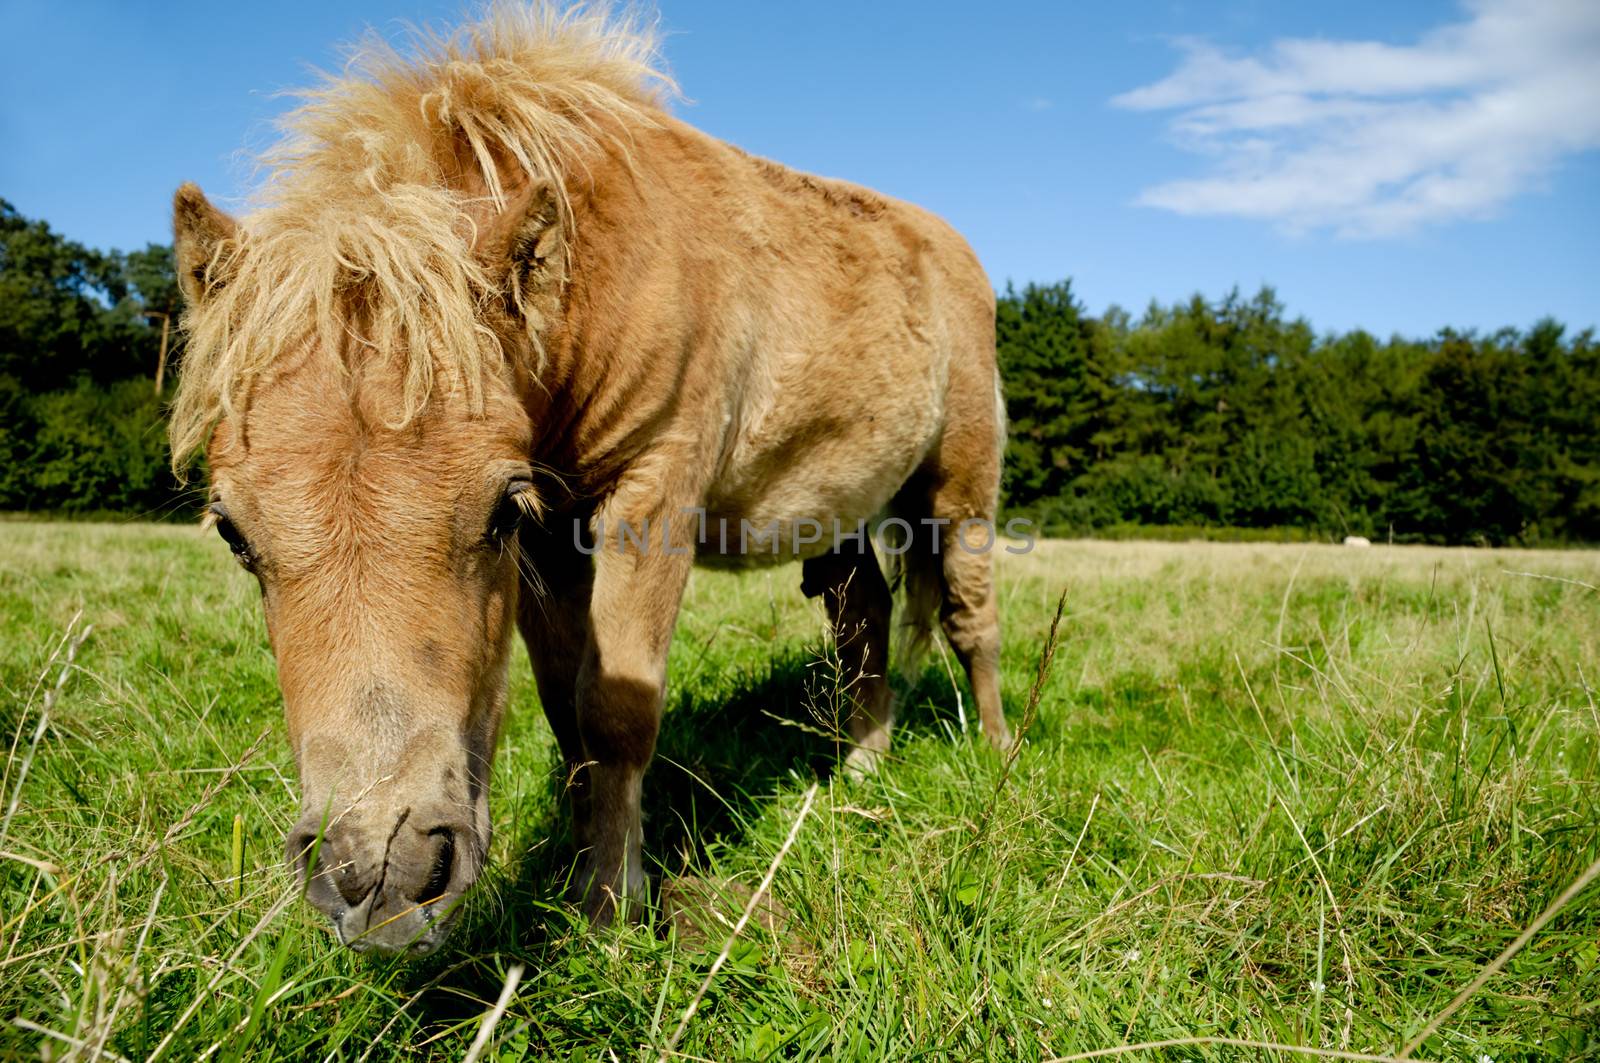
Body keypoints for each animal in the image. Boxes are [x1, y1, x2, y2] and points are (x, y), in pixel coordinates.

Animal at [172, 4, 998, 954]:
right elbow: (566, 708)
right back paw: (863, 767)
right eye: (234, 532)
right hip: (843, 512)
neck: (605, 270)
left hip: (960, 491)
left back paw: (999, 755)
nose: (384, 878)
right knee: (863, 613)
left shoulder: (647, 497)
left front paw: (612, 907)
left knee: (971, 617)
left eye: (495, 511)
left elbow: (615, 709)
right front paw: (572, 873)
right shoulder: (553, 534)